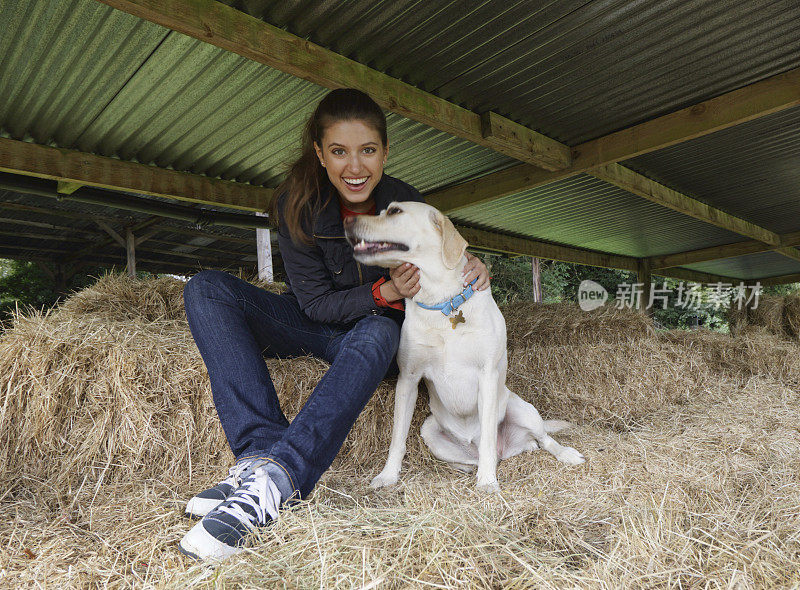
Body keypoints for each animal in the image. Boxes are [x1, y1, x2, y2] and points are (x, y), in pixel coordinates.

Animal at [346, 201, 588, 492]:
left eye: (394, 211)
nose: (347, 220)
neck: (442, 303)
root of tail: (506, 448)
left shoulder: (487, 376)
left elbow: (487, 438)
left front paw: (487, 481)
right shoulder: (408, 379)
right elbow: (397, 439)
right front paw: (389, 475)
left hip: (523, 409)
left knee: (541, 439)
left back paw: (564, 454)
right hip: (429, 429)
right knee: (486, 454)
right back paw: (469, 466)